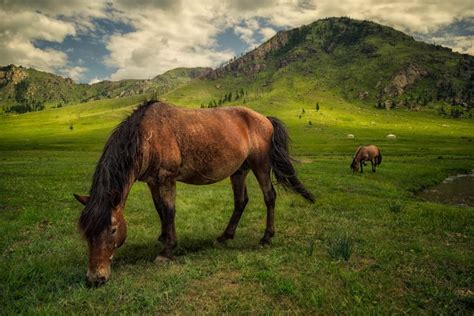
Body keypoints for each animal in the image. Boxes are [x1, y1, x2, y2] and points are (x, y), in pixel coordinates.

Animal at [73, 101, 314, 286]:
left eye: (113, 229)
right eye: (86, 232)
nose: (95, 278)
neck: (146, 136)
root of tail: (264, 118)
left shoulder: (167, 178)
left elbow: (169, 211)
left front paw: (167, 251)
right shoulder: (152, 182)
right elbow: (159, 209)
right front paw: (163, 237)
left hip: (260, 165)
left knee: (269, 197)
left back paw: (266, 238)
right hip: (239, 170)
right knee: (241, 201)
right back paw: (225, 236)